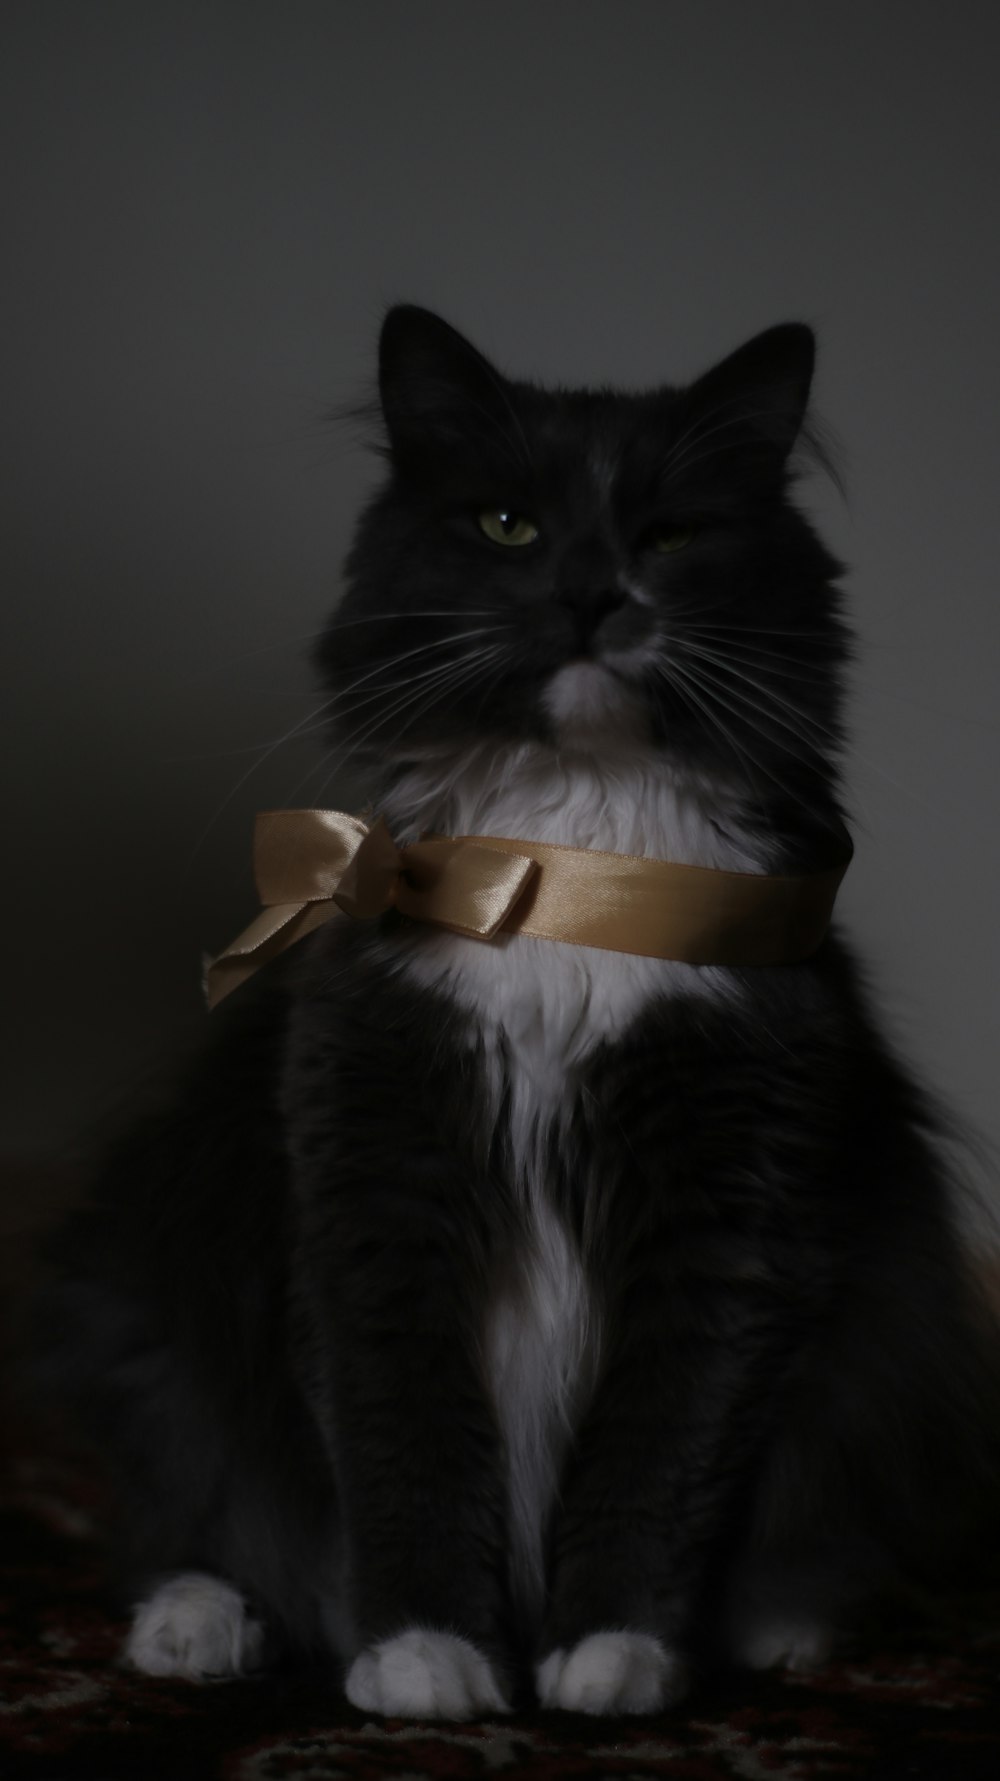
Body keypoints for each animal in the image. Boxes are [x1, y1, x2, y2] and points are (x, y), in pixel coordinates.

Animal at [35, 299, 991, 1716]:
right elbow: (409, 1449)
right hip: (151, 1316)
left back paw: (781, 1624)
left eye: (669, 536)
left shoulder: (728, 1207)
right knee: (188, 1529)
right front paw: (425, 1656)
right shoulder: (376, 1187)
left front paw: (612, 1655)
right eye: (507, 527)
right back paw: (194, 1630)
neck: (559, 871)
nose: (593, 593)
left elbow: (658, 1451)